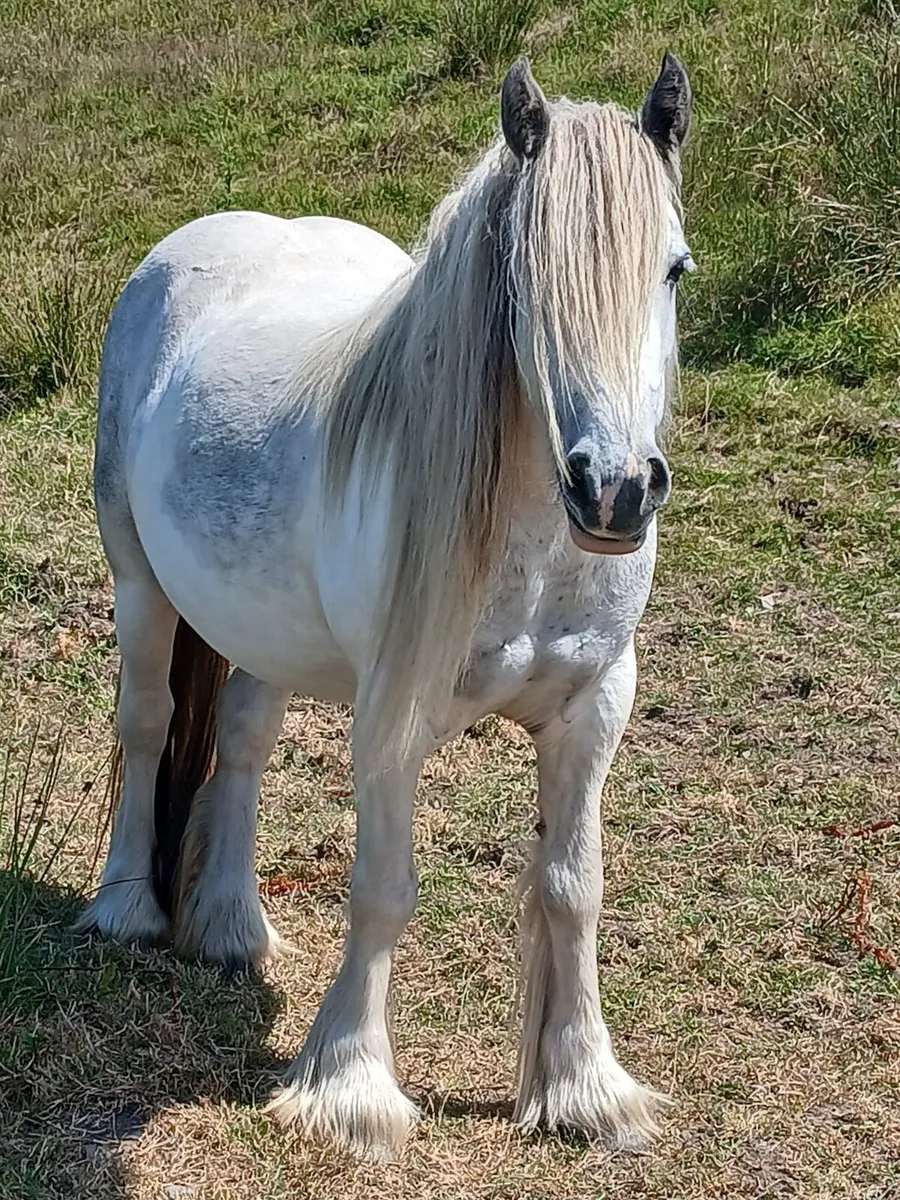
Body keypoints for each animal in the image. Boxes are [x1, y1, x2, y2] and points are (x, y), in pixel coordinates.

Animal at [77, 54, 693, 1160]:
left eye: (674, 269)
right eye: (525, 279)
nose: (616, 492)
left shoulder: (594, 707)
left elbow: (572, 887)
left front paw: (584, 1087)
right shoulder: (392, 719)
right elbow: (383, 891)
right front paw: (350, 1088)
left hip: (259, 630)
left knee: (241, 743)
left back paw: (231, 926)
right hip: (139, 585)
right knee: (147, 726)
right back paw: (128, 911)